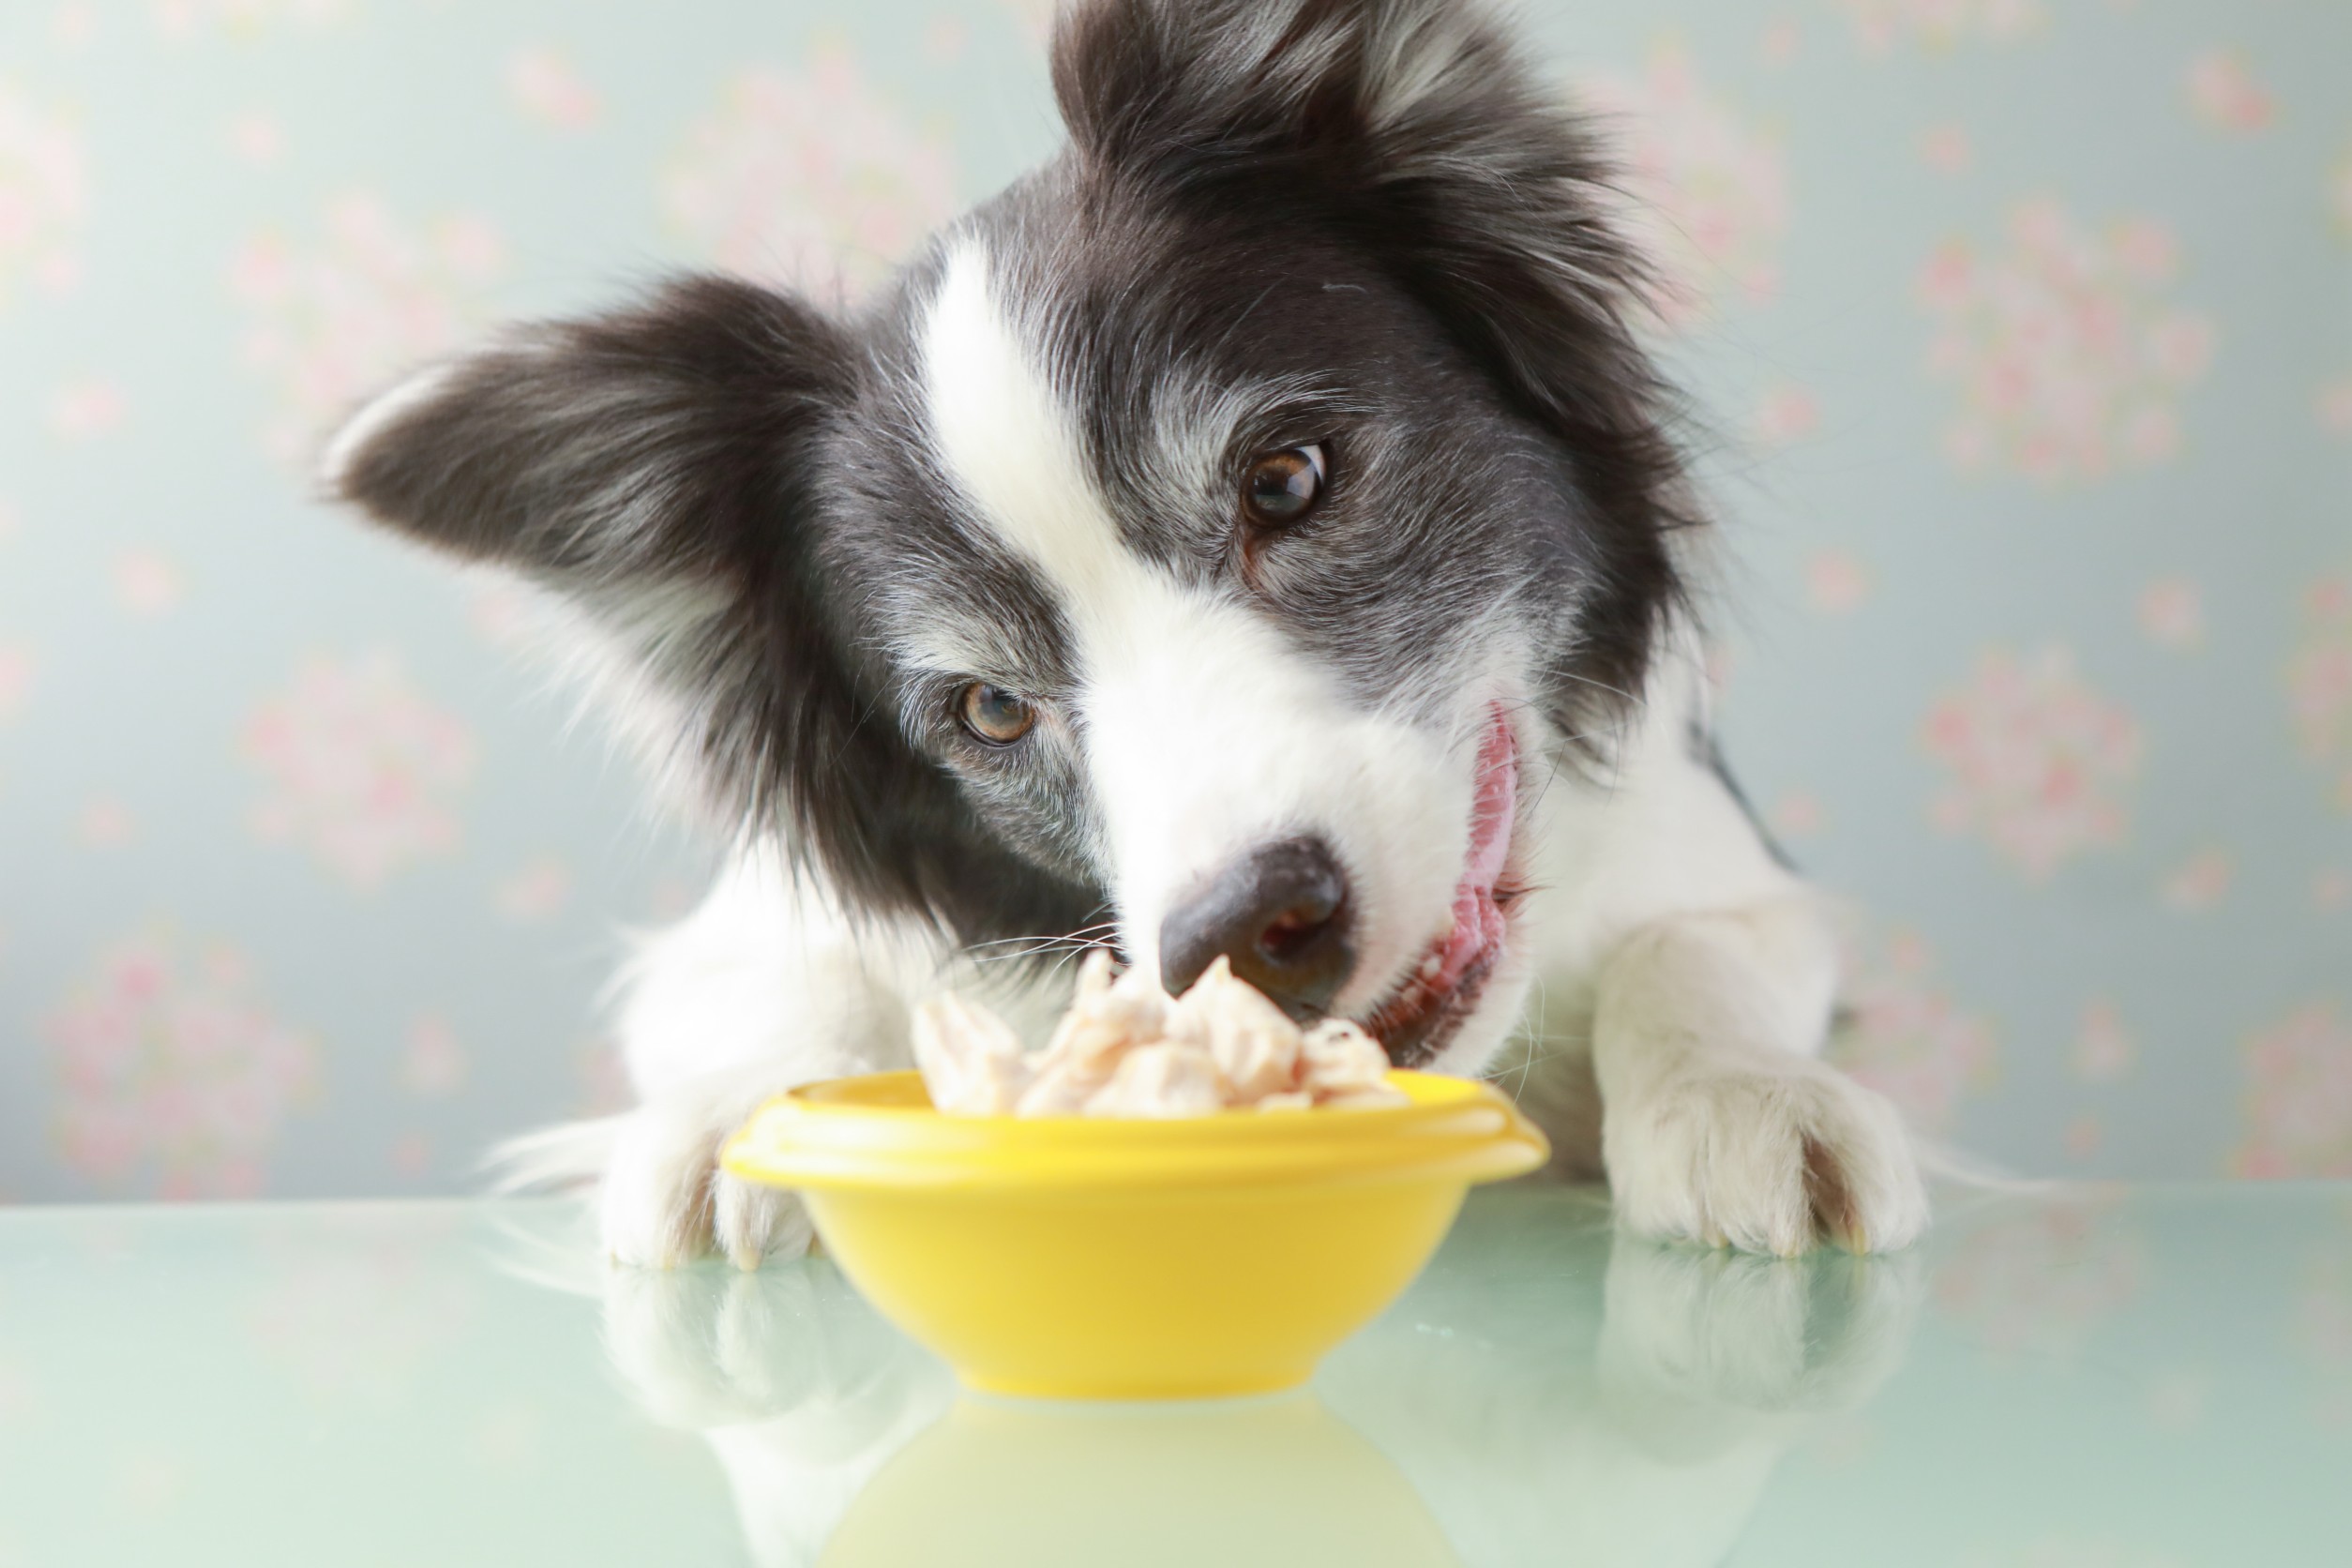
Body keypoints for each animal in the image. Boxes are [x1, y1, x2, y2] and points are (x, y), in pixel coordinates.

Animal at [322, 0, 1928, 1259]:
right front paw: (732, 1125)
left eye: (1287, 479)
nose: (1246, 938)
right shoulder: (760, 933)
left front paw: (1746, 1097)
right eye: (989, 710)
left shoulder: (1718, 863)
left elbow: (1697, 954)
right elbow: (774, 996)